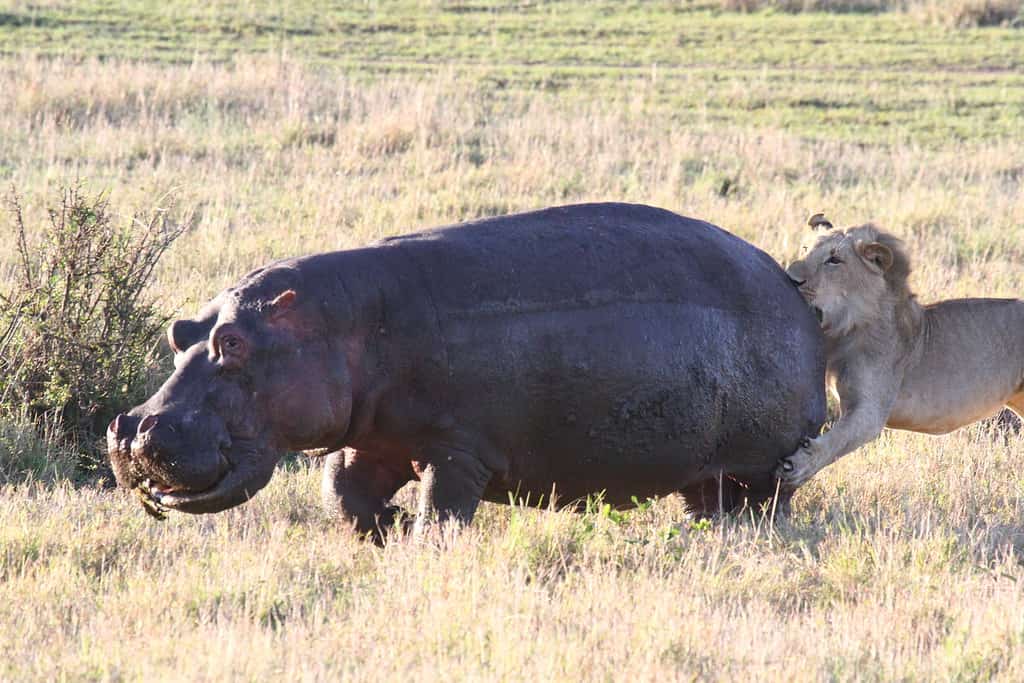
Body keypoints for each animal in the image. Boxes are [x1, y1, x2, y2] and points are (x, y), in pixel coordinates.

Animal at [105, 202, 823, 540]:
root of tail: (793, 290)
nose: (133, 431)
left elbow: (443, 510)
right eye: (180, 333)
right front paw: (390, 529)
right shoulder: (378, 438)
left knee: (768, 504)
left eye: (232, 343)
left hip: (765, 465)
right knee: (710, 503)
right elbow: (342, 494)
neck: (347, 324)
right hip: (708, 469)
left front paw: (418, 536)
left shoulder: (455, 450)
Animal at [774, 216, 1024, 489]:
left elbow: (837, 441)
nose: (790, 278)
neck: (849, 326)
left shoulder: (871, 411)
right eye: (806, 249)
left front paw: (798, 467)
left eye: (834, 260)